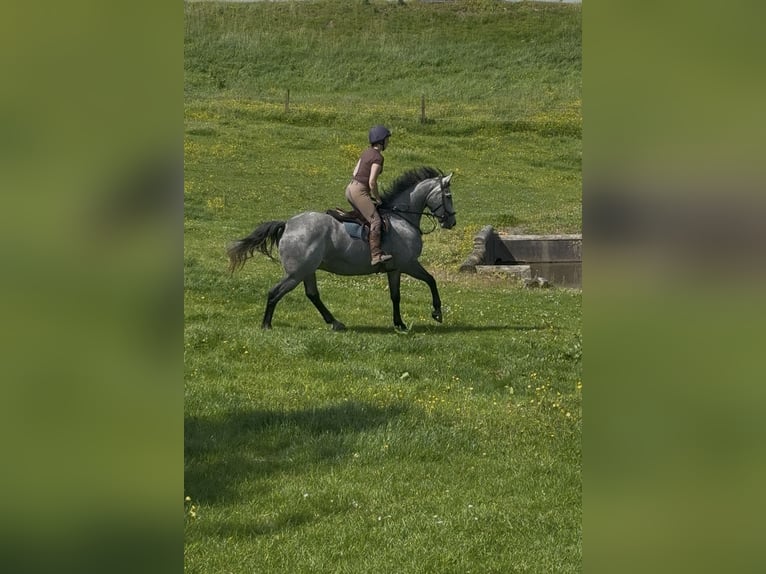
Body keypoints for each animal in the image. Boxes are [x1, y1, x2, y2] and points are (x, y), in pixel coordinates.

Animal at [227, 166, 456, 331]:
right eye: (449, 196)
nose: (451, 222)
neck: (402, 218)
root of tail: (288, 225)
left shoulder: (396, 269)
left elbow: (396, 295)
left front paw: (399, 323)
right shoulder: (407, 264)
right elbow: (430, 281)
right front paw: (436, 313)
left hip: (307, 270)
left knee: (312, 295)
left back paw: (335, 323)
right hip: (296, 273)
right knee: (275, 292)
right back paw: (267, 325)